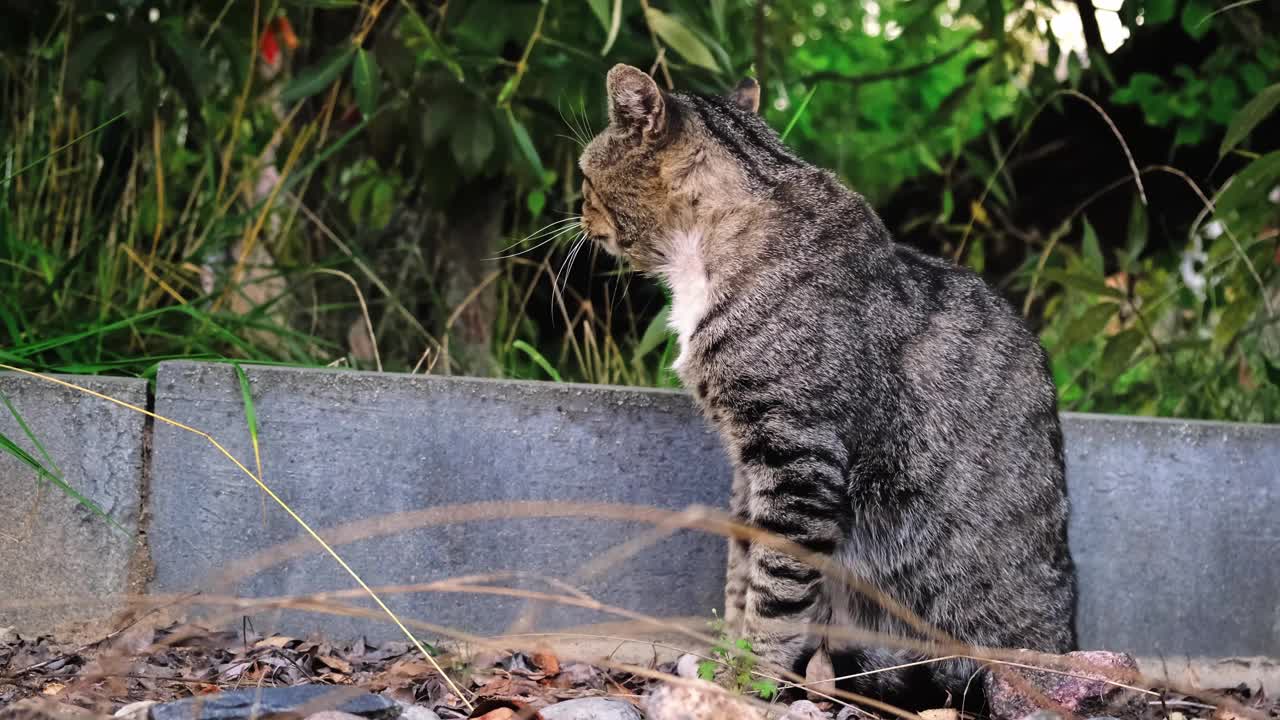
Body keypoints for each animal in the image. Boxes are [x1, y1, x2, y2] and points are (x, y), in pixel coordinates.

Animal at [576, 64, 1075, 702]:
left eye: (585, 176)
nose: (579, 212)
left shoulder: (798, 460)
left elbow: (776, 592)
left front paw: (747, 677)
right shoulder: (749, 468)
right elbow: (742, 571)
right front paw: (724, 657)